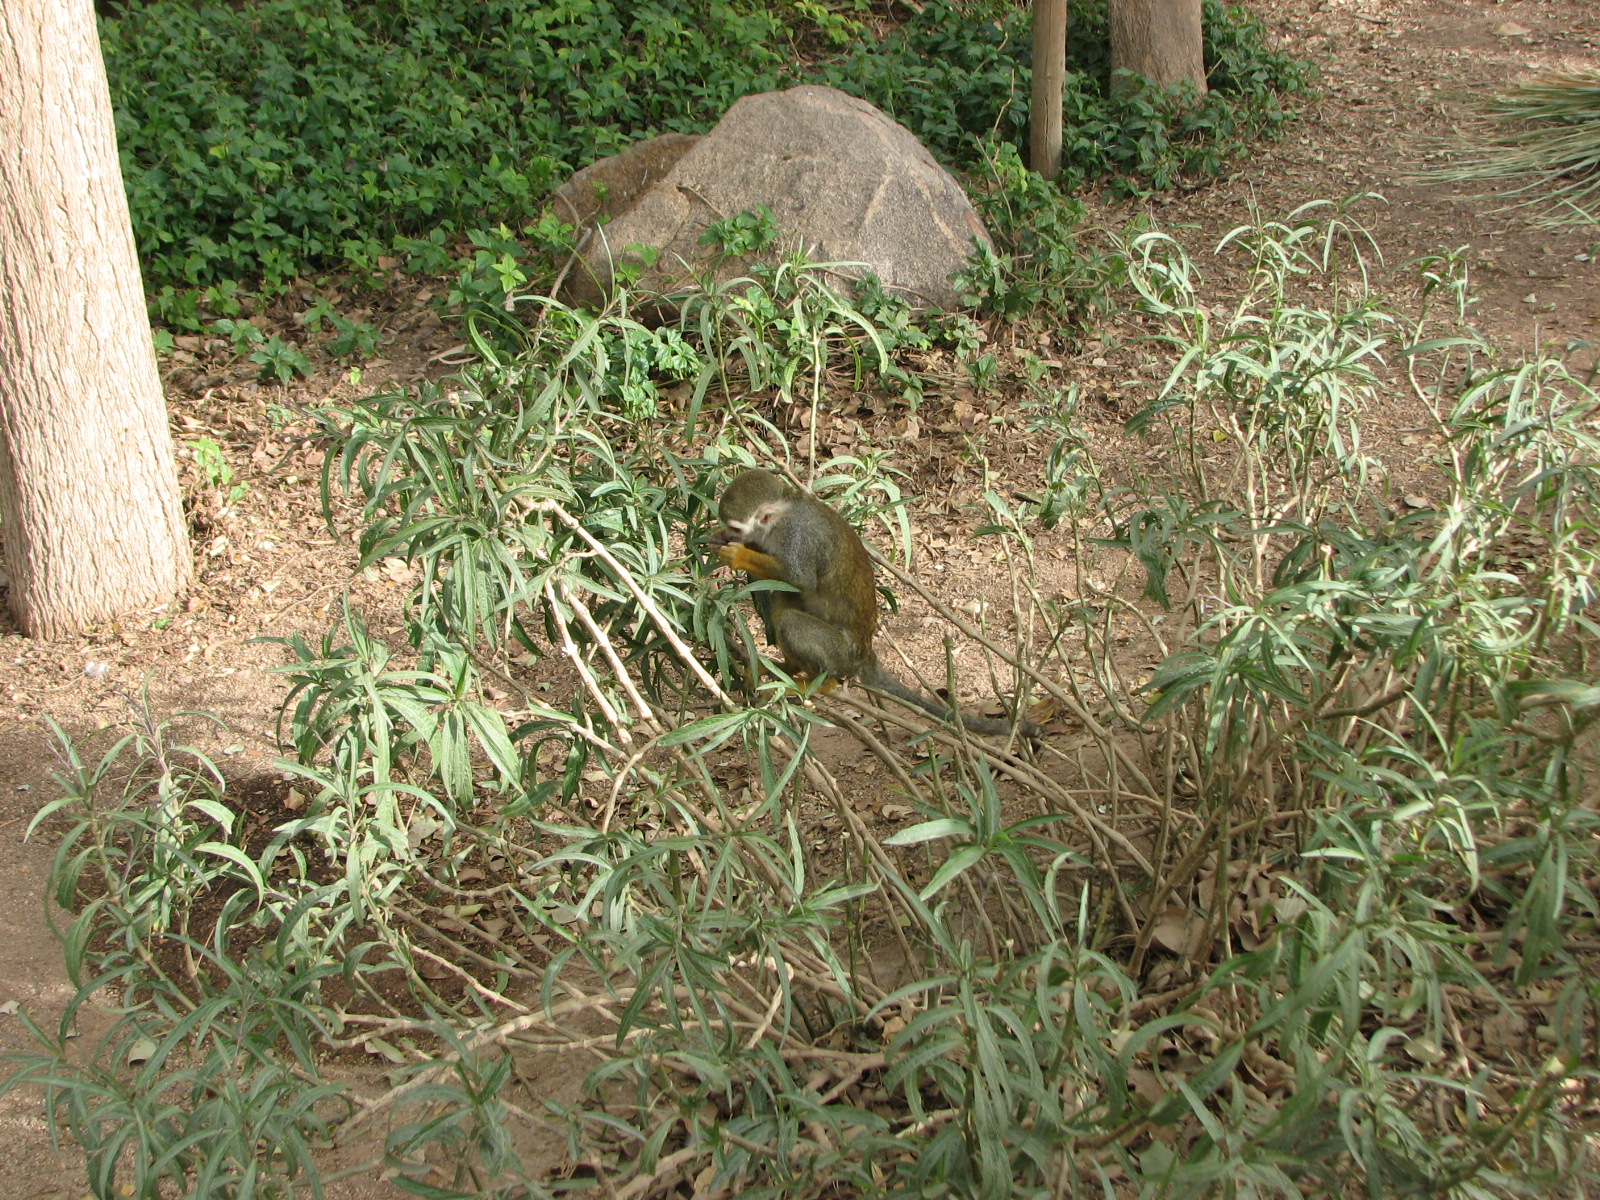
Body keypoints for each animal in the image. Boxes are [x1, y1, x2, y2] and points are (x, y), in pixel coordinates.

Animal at [711, 469, 1042, 741]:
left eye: (736, 528)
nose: (727, 533)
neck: (779, 519)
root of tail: (865, 652)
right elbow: (790, 586)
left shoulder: (795, 537)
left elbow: (799, 578)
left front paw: (739, 555)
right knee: (784, 601)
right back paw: (788, 668)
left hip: (840, 651)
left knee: (791, 620)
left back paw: (825, 681)